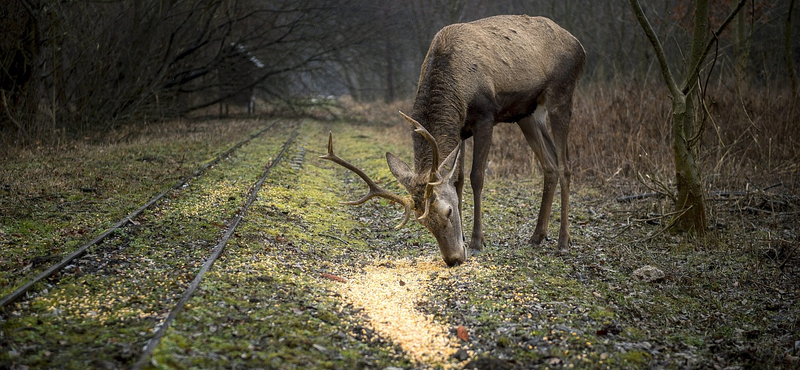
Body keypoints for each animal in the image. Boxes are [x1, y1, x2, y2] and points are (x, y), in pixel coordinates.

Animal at [322, 15, 584, 266]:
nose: (454, 259)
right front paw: (467, 237)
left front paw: (477, 241)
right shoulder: (460, 128)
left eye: (448, 211)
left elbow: (476, 177)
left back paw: (563, 241)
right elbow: (457, 180)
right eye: (423, 223)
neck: (458, 87)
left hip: (562, 93)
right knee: (549, 164)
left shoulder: (485, 116)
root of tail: (579, 46)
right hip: (526, 113)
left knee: (566, 165)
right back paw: (537, 236)